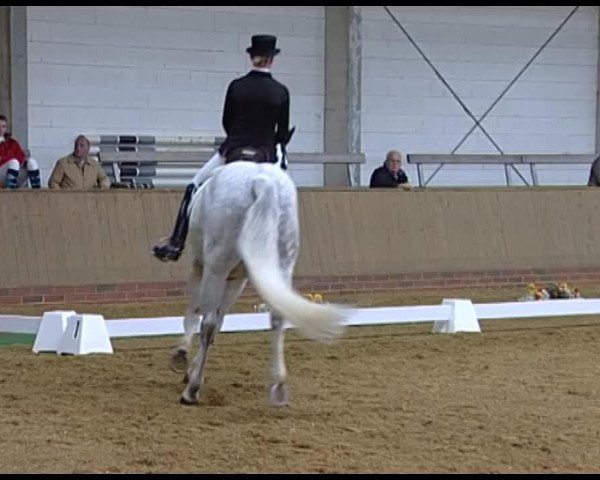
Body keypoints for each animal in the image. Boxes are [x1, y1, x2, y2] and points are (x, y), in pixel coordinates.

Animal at [169, 161, 346, 404]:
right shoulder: (237, 279)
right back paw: (279, 387)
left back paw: (192, 391)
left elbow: (195, 314)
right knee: (278, 318)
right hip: (279, 265)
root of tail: (261, 180)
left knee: (208, 324)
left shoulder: (201, 268)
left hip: (216, 268)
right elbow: (218, 321)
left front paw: (182, 359)